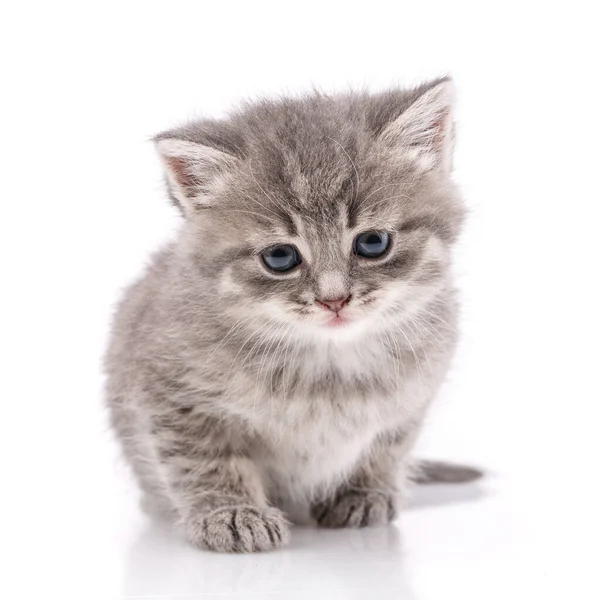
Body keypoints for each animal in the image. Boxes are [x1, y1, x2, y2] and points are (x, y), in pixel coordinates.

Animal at [104, 78, 478, 552]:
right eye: (280, 257)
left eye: (373, 242)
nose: (334, 299)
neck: (328, 368)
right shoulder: (170, 392)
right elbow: (204, 459)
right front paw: (231, 512)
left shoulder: (415, 396)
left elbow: (389, 446)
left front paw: (365, 492)